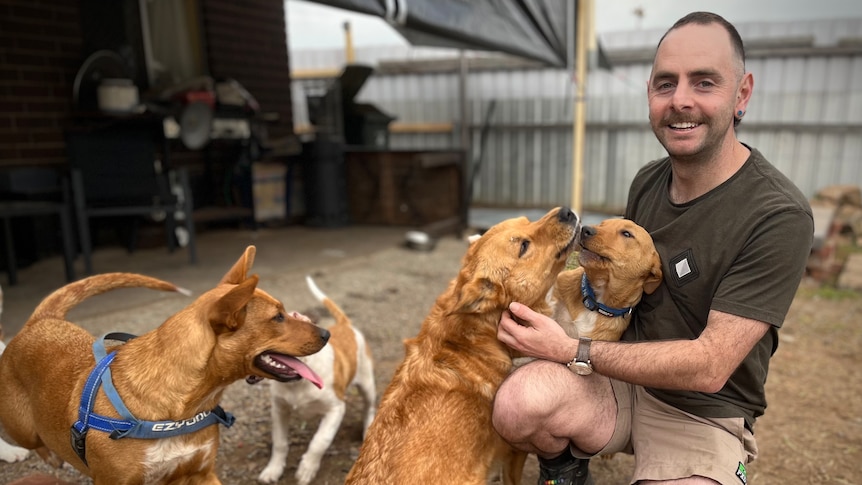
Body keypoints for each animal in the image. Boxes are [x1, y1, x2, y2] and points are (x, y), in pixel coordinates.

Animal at [0, 248, 330, 482]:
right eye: (278, 317)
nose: (326, 334)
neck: (180, 409)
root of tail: (41, 321)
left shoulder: (201, 473)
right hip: (25, 428)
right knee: (33, 441)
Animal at [258, 276, 376, 484]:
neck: (298, 381)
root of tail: (345, 324)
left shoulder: (336, 409)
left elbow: (320, 441)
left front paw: (307, 468)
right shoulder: (279, 410)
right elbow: (279, 442)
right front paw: (273, 469)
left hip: (367, 384)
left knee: (369, 406)